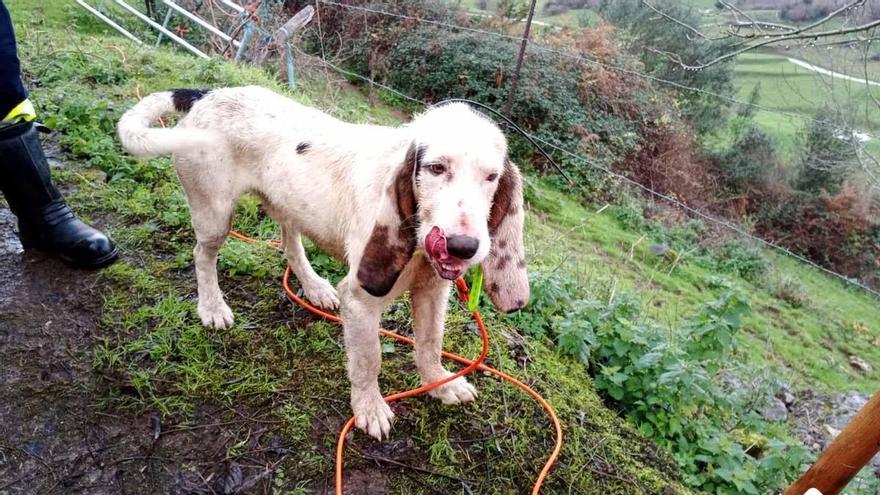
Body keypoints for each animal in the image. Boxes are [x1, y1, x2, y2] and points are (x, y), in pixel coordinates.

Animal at [117, 87, 528, 440]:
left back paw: (313, 286)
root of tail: (207, 94)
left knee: (290, 244)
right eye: (436, 168)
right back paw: (212, 307)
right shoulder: (360, 300)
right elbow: (369, 361)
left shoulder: (432, 290)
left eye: (491, 177)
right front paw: (369, 407)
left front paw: (440, 383)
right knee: (203, 256)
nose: (463, 247)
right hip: (215, 215)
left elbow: (430, 343)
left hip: (285, 204)